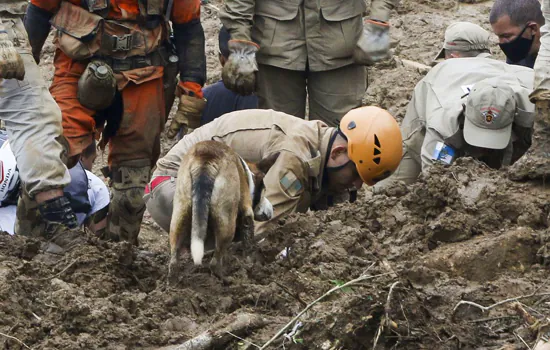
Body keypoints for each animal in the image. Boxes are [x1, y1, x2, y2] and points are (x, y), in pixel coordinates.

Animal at [168, 141, 280, 280]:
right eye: (264, 191)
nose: (272, 209)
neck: (247, 175)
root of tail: (206, 159)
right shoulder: (247, 213)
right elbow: (248, 241)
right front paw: (249, 263)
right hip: (227, 223)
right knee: (214, 262)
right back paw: (225, 279)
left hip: (180, 215)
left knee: (174, 260)